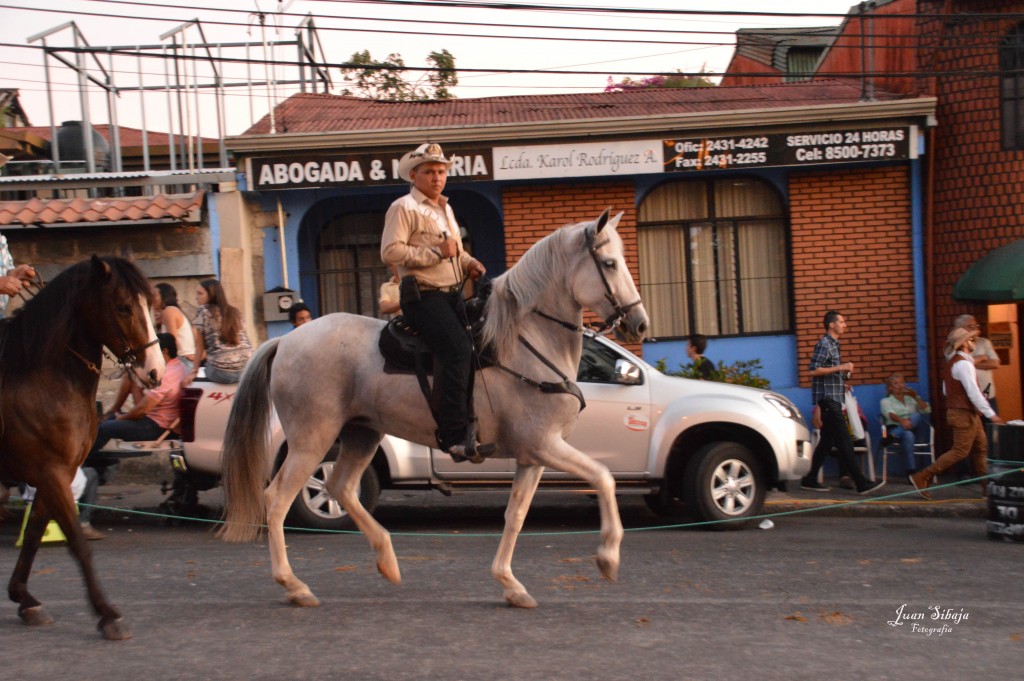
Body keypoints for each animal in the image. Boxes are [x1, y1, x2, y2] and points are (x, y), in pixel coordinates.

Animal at [0, 254, 162, 639]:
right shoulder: (52, 473)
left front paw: (25, 599)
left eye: (151, 304)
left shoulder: (55, 472)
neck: (39, 377)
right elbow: (76, 541)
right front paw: (108, 615)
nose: (155, 372)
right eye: (123, 306)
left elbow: (34, 534)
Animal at [221, 206, 651, 606]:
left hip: (362, 433)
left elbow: (515, 515)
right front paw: (608, 557)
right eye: (609, 263)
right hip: (313, 438)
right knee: (278, 499)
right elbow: (603, 478)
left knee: (340, 486)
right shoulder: (545, 445)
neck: (525, 340)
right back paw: (294, 585)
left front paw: (510, 584)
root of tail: (285, 341)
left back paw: (387, 560)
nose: (640, 324)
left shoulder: (533, 456)